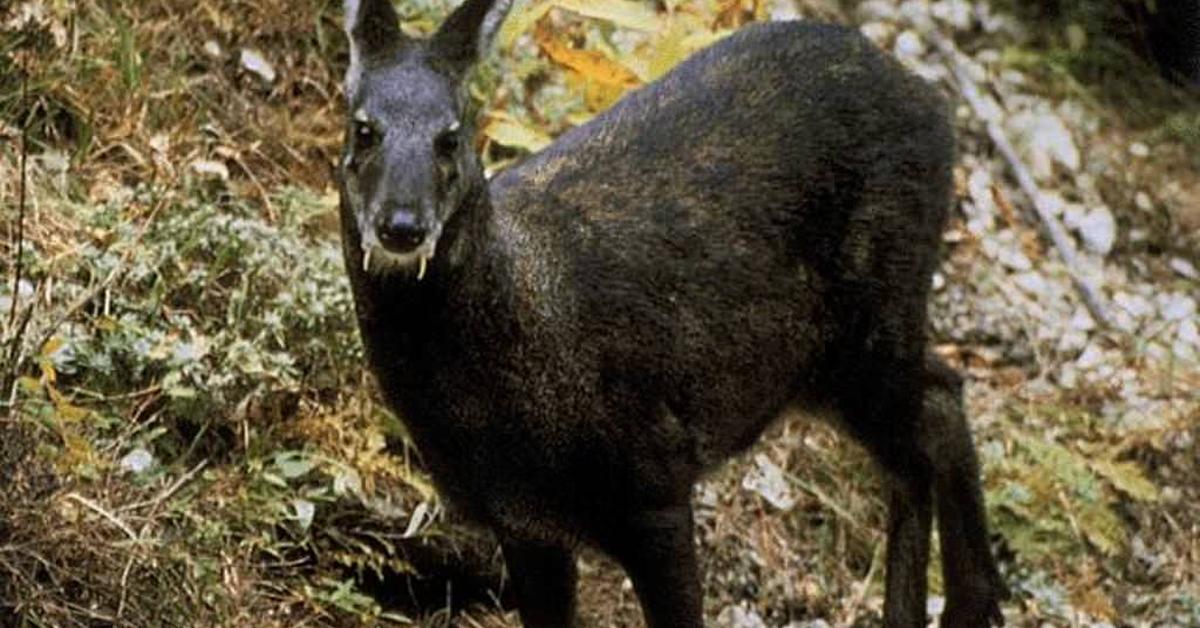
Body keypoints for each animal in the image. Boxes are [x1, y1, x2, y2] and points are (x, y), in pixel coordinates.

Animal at [333, 0, 1008, 624]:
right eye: (363, 129)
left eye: (450, 136)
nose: (401, 225)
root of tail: (932, 103)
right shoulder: (526, 527)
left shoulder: (653, 484)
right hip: (819, 365)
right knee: (931, 411)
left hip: (875, 312)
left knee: (931, 417)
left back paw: (957, 605)